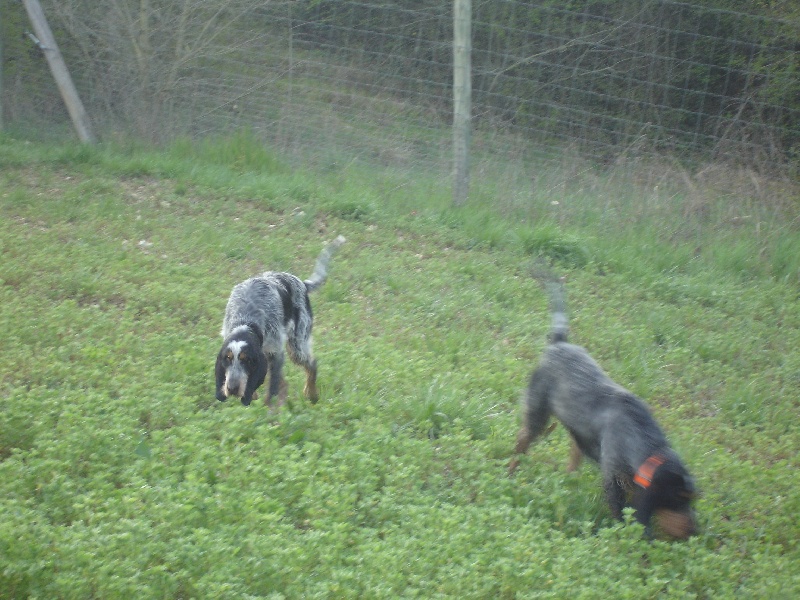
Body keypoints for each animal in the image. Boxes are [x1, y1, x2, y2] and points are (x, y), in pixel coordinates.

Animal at [510, 276, 696, 540]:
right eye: (678, 498)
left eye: (693, 499)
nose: (696, 531)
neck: (642, 436)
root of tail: (560, 342)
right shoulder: (613, 478)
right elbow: (621, 511)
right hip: (537, 412)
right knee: (523, 440)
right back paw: (511, 471)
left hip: (574, 427)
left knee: (573, 450)